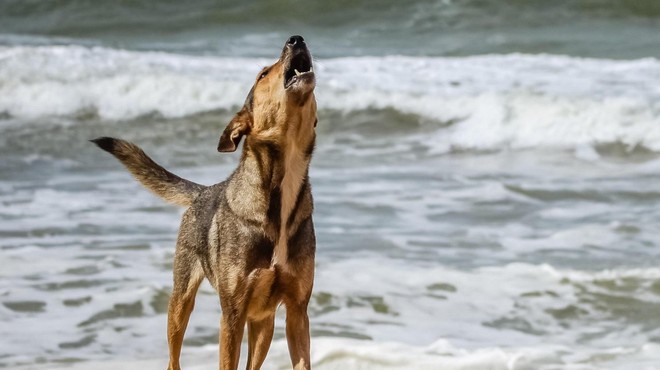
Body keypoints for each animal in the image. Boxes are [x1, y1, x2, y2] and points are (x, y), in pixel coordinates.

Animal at [92, 35, 318, 370]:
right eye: (263, 74)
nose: (296, 39)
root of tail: (202, 190)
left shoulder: (297, 311)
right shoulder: (233, 314)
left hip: (263, 323)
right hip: (181, 300)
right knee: (173, 356)